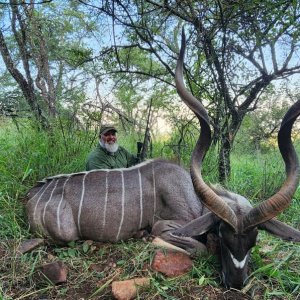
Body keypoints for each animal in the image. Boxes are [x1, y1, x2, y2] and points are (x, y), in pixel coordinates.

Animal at [25, 29, 300, 288]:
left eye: (254, 241)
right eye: (223, 237)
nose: (235, 283)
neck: (192, 196)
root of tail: (31, 195)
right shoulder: (167, 226)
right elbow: (196, 247)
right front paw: (149, 238)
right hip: (65, 235)